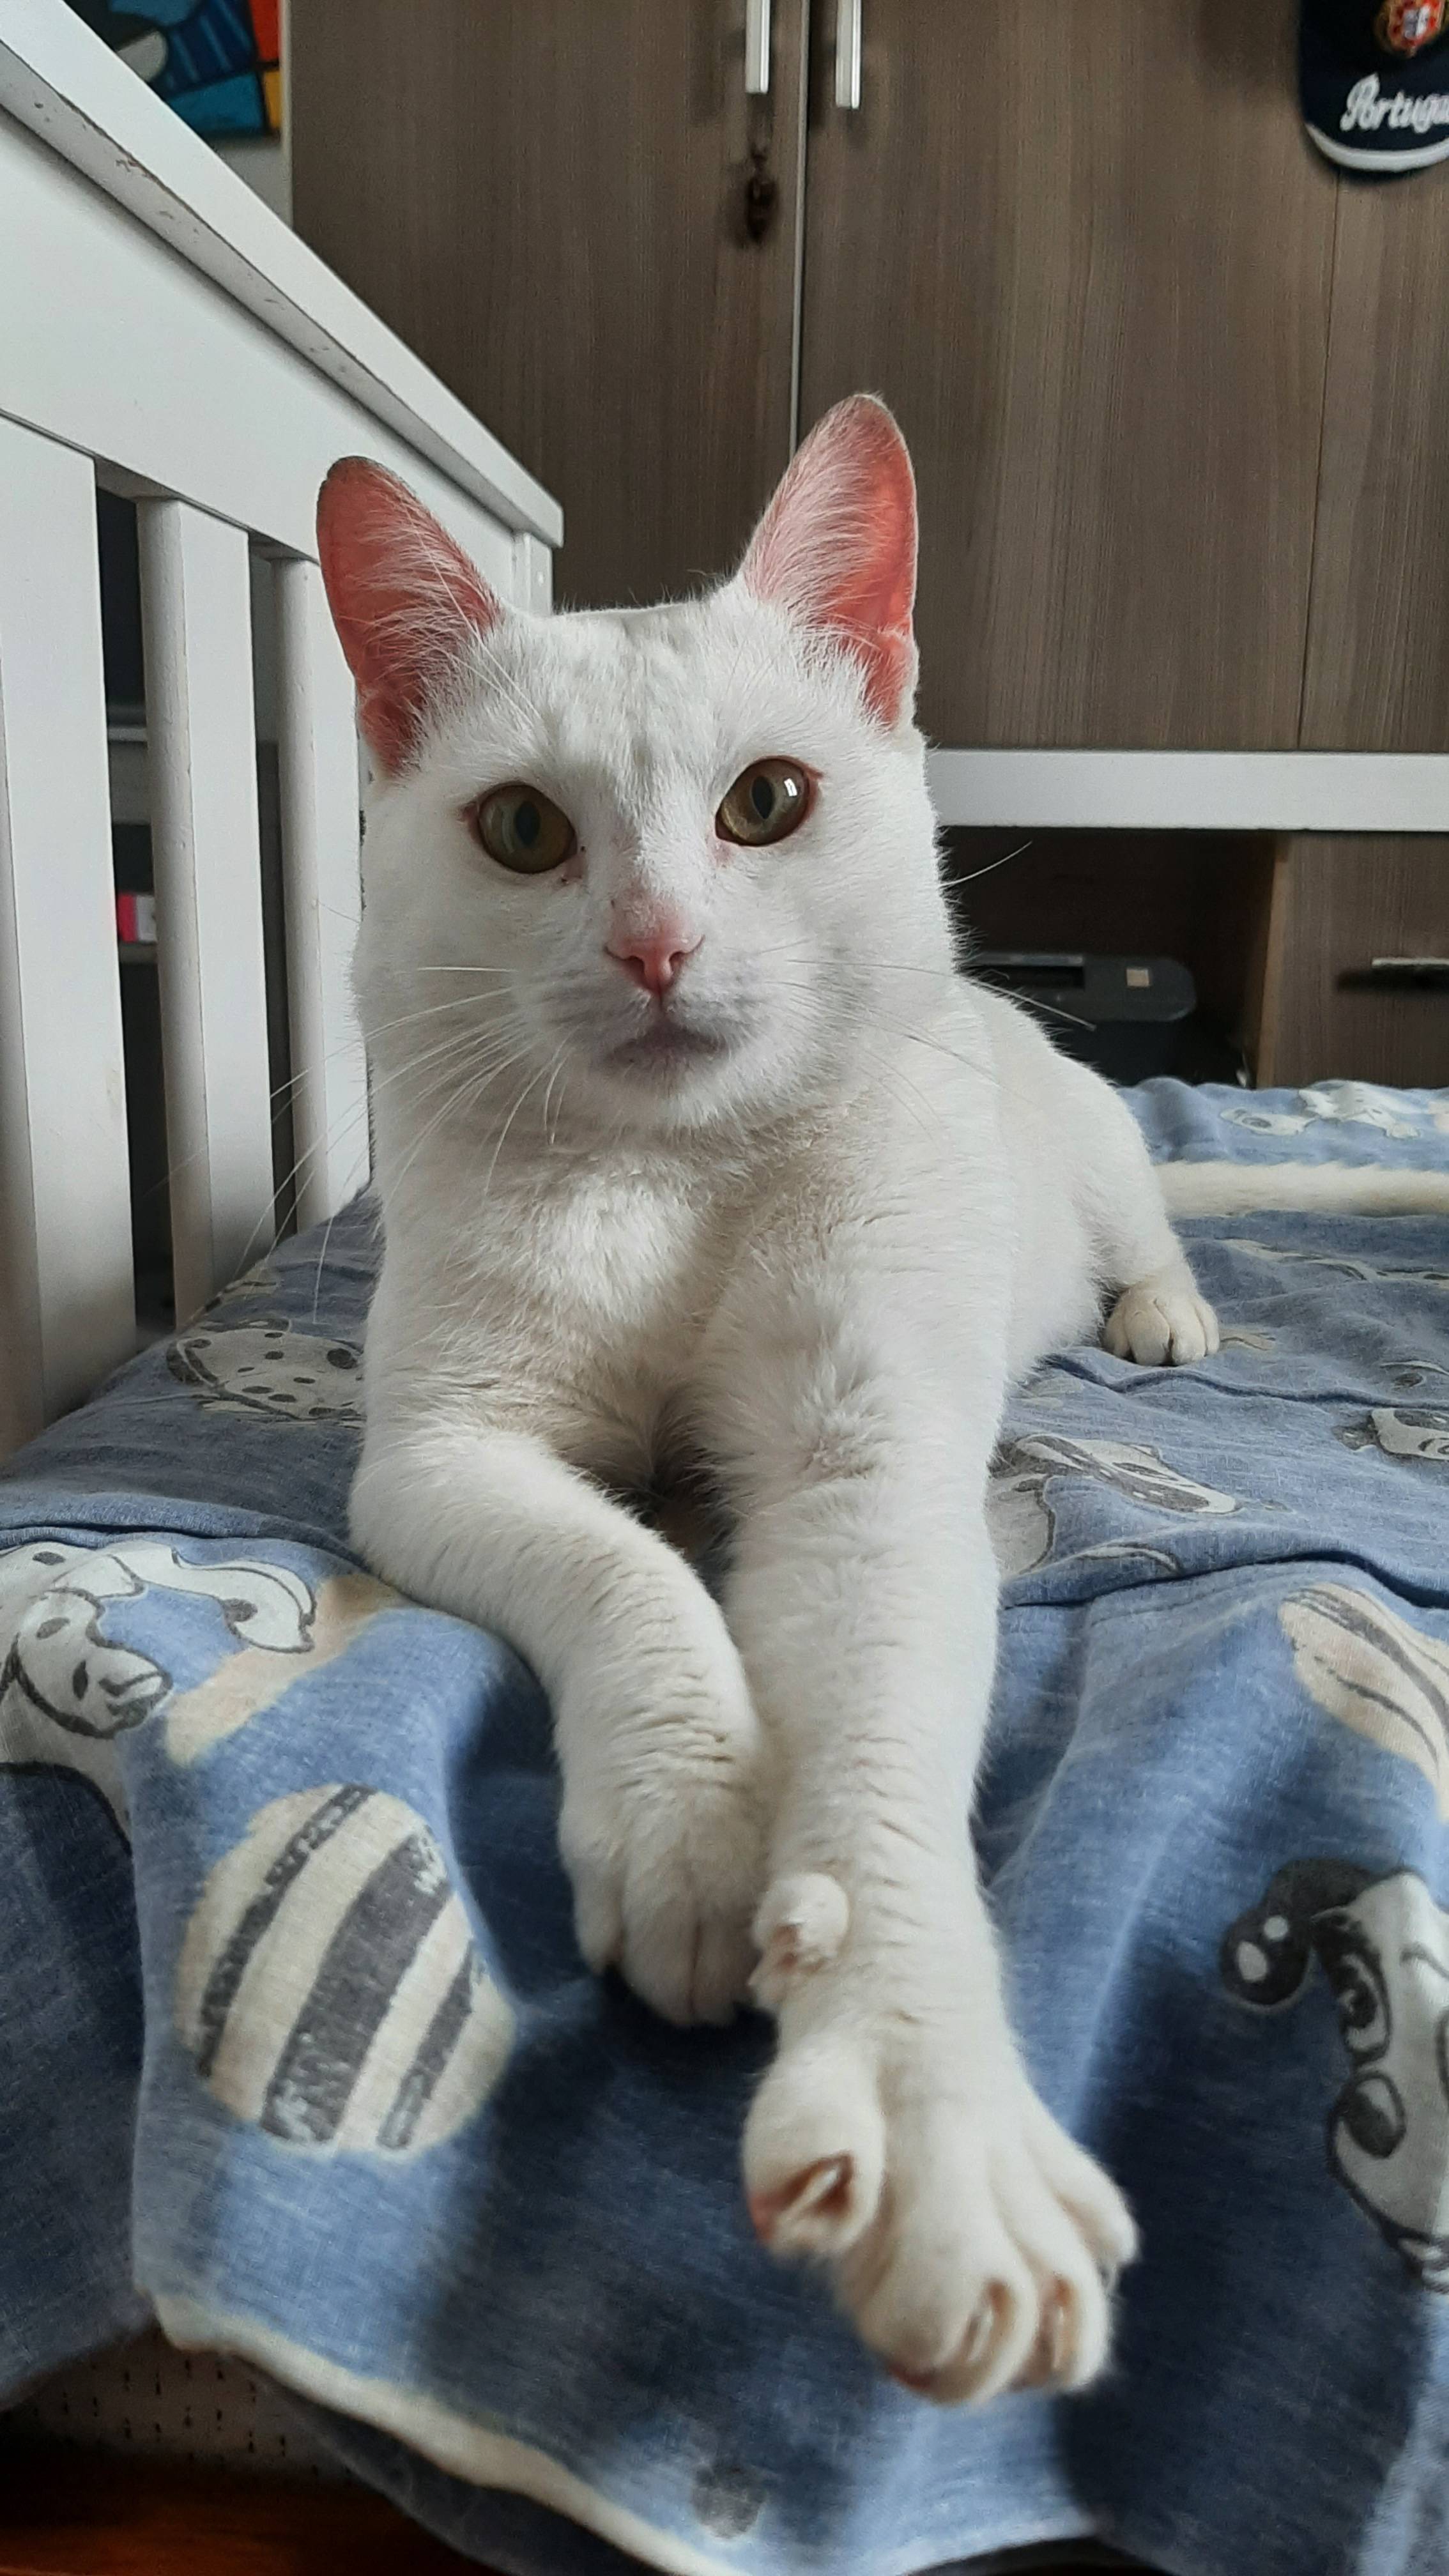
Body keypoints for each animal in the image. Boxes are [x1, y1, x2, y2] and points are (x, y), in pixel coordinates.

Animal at [316, 396, 1222, 2405]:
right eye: (521, 831)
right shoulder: (437, 1455)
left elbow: (881, 1750)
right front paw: (688, 1831)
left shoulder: (867, 1460)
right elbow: (632, 1572)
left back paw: (1170, 1316)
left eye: (768, 804)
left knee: (1154, 1227)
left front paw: (930, 2121)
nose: (653, 942)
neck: (666, 1179)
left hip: (1102, 1150)